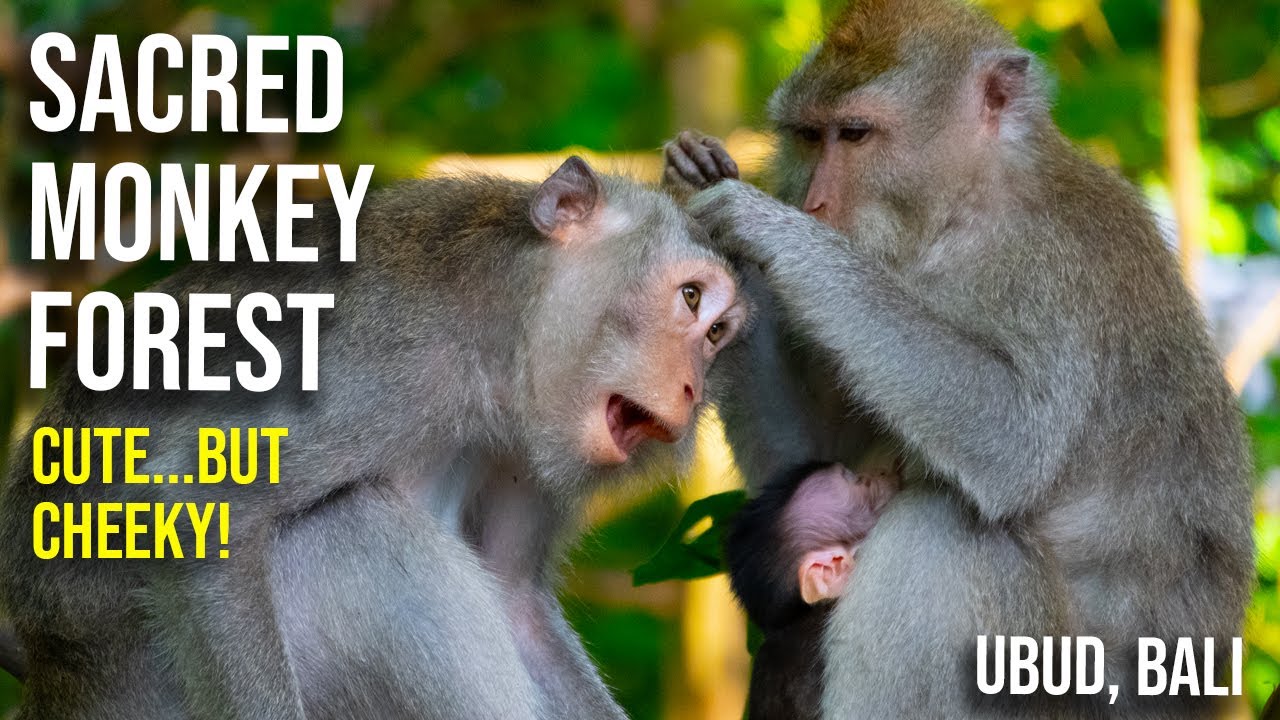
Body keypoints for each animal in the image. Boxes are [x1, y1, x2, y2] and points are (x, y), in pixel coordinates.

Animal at [0, 156, 749, 720]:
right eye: (689, 298)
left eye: (718, 335)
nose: (692, 387)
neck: (496, 320)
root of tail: (61, 683)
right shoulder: (377, 358)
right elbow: (199, 505)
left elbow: (515, 602)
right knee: (355, 527)